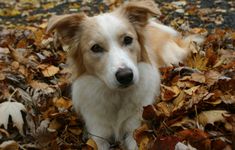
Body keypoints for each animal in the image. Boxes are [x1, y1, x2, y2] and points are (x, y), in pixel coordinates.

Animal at [47, 0, 191, 149]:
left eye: (128, 39)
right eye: (96, 48)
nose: (125, 76)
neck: (117, 96)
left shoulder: (135, 128)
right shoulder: (98, 134)